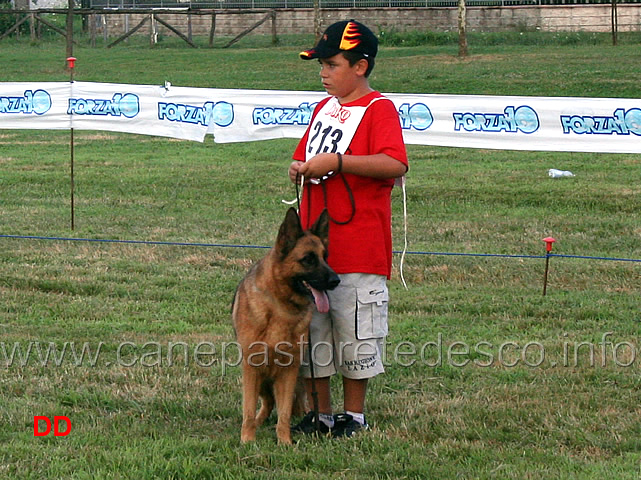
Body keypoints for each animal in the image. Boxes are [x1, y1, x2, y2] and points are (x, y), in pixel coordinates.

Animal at [231, 208, 340, 444]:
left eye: (325, 257)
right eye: (308, 259)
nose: (336, 281)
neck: (281, 307)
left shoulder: (288, 371)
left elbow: (284, 414)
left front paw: (284, 442)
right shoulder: (252, 368)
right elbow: (248, 410)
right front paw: (248, 440)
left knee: (289, 404)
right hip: (262, 380)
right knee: (266, 403)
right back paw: (258, 422)